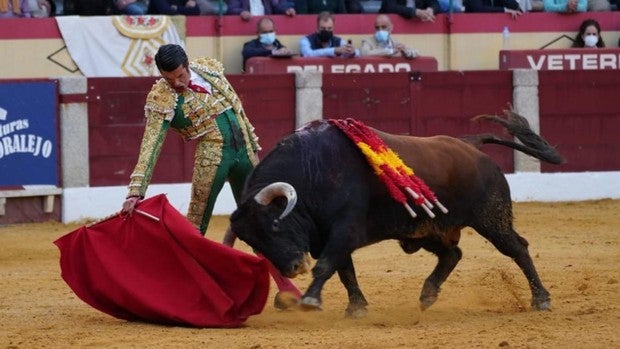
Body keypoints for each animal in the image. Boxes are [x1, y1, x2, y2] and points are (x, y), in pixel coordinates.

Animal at [230, 110, 564, 316]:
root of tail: (470, 145)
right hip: (426, 227)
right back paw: (428, 294)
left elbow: (327, 265)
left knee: (517, 248)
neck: (313, 171)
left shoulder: (345, 228)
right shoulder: (330, 235)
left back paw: (541, 299)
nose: (293, 268)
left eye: (274, 225)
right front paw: (356, 307)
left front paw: (311, 300)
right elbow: (345, 270)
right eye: (254, 243)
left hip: (492, 218)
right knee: (453, 254)